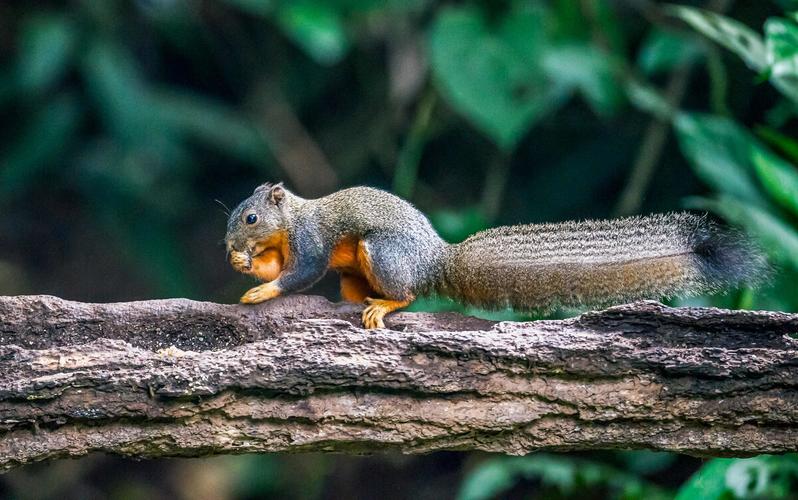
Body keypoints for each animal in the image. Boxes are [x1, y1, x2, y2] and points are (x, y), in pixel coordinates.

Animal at [223, 183, 768, 328]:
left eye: (250, 218)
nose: (229, 246)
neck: (289, 222)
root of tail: (438, 260)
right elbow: (281, 268)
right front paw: (246, 267)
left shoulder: (311, 240)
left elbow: (300, 274)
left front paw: (261, 288)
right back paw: (358, 303)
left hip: (381, 252)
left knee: (408, 293)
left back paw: (384, 305)